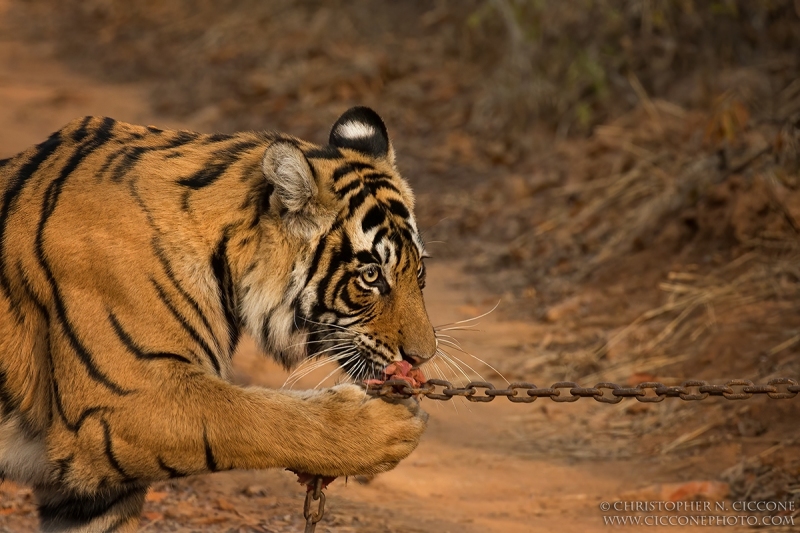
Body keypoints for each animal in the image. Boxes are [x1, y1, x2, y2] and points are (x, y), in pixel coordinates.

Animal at [0, 106, 434, 528]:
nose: (423, 357)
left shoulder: (89, 495)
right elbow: (252, 416)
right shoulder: (121, 406)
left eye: (419, 270)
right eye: (371, 275)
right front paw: (376, 429)